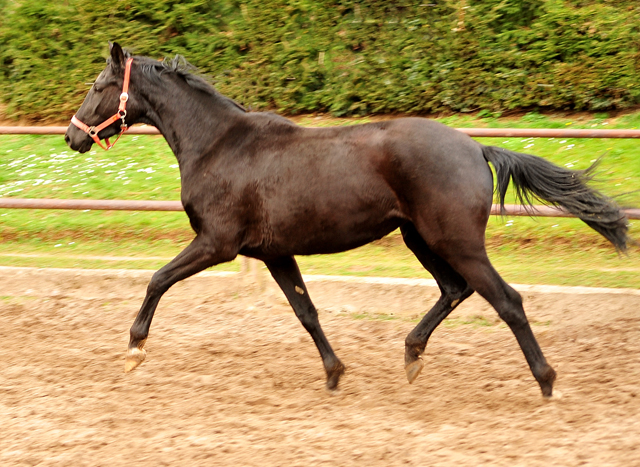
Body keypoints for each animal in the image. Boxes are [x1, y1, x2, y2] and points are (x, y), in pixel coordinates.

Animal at [65, 43, 632, 398]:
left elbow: (157, 279)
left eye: (97, 84)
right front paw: (335, 374)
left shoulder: (217, 242)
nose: (71, 136)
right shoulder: (275, 252)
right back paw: (412, 356)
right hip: (420, 238)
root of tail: (476, 148)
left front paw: (134, 349)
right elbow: (306, 312)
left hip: (454, 239)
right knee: (456, 289)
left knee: (506, 300)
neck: (219, 144)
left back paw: (546, 381)